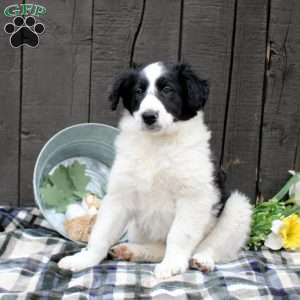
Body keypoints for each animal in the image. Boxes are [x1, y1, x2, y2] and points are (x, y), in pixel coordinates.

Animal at [57, 62, 252, 278]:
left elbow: (179, 234)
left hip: (238, 208)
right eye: (138, 91)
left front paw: (172, 264)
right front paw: (84, 259)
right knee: (158, 248)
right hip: (136, 228)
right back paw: (132, 250)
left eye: (167, 90)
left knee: (213, 246)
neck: (157, 144)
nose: (148, 116)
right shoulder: (120, 194)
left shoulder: (193, 197)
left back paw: (202, 260)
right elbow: (102, 232)